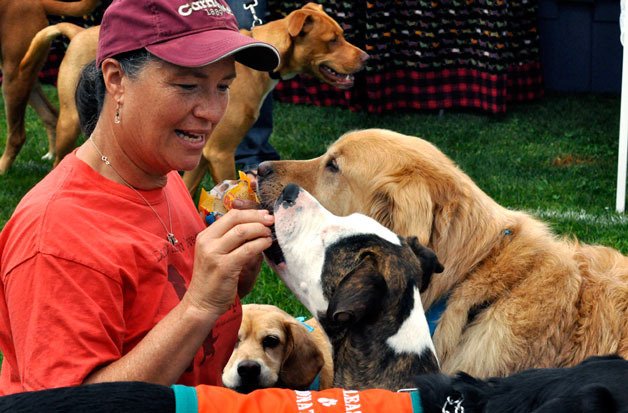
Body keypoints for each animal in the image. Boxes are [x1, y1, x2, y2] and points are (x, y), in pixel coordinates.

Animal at [20, 2, 368, 193]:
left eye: (342, 35)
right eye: (332, 40)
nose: (366, 58)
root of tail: (80, 32)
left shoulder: (199, 151)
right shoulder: (221, 152)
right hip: (70, 120)